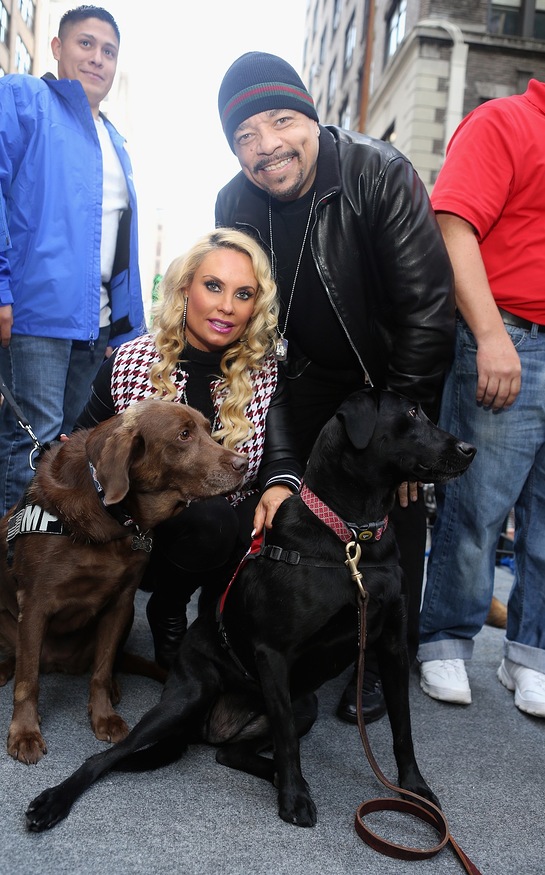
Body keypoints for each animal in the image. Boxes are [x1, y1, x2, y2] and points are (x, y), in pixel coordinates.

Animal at [26, 392, 476, 836]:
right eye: (413, 413)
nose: (469, 449)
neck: (352, 538)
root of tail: (208, 727)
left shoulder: (392, 647)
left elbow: (403, 729)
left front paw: (415, 791)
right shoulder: (272, 653)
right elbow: (287, 739)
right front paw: (294, 799)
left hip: (305, 702)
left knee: (231, 755)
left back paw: (271, 772)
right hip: (188, 696)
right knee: (106, 758)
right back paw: (53, 801)